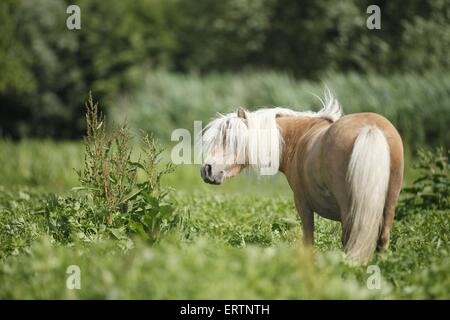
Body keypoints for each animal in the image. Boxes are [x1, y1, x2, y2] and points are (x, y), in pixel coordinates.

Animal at [200, 91, 404, 264]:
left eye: (232, 140)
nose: (206, 170)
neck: (299, 137)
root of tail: (370, 128)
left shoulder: (302, 204)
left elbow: (308, 242)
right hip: (389, 204)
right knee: (382, 240)